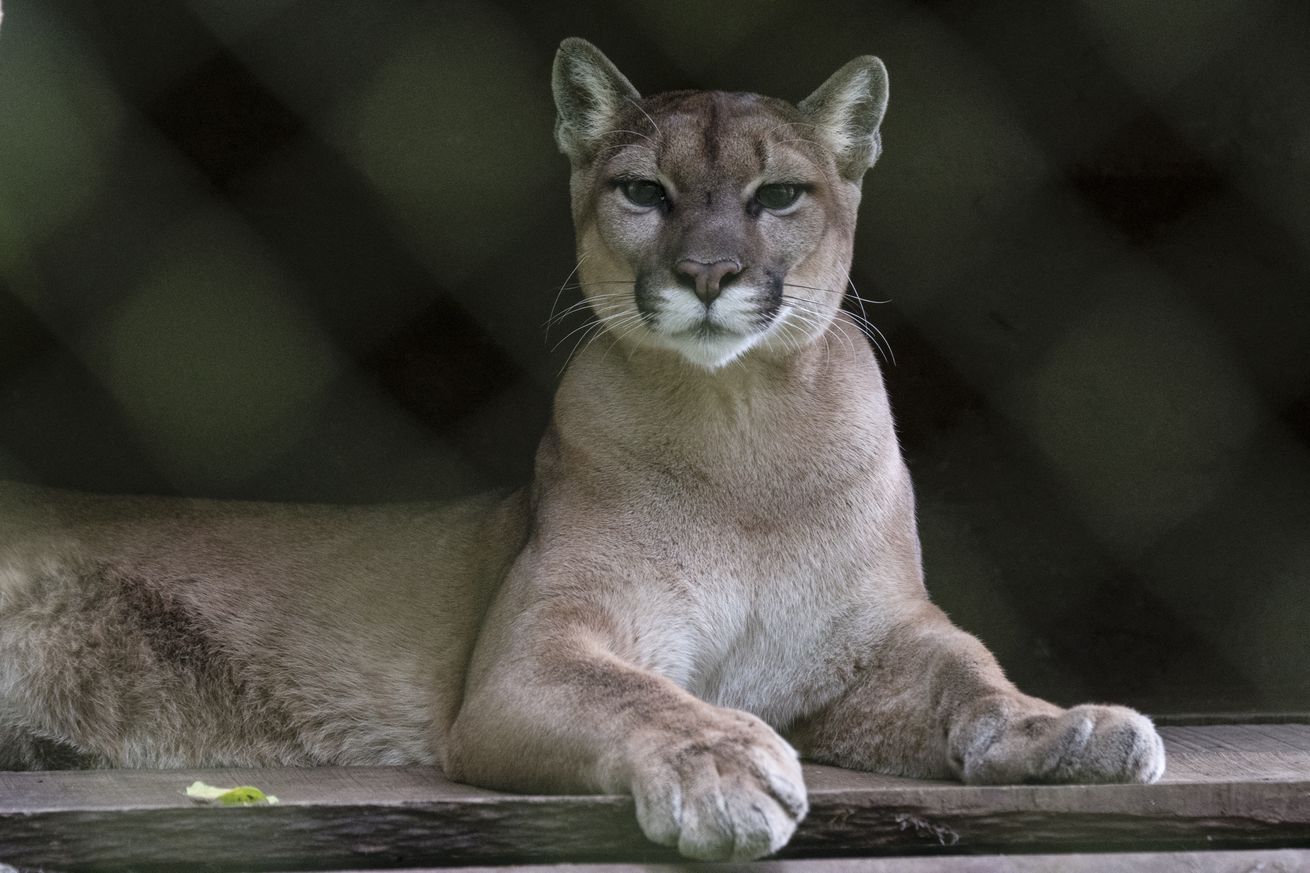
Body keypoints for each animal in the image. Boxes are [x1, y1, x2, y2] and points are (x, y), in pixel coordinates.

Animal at [0, 39, 1168, 854]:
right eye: (643, 191)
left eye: (779, 195)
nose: (708, 272)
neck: (743, 429)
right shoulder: (537, 645)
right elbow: (639, 693)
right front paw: (721, 765)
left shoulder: (878, 636)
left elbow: (971, 671)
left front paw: (1062, 729)